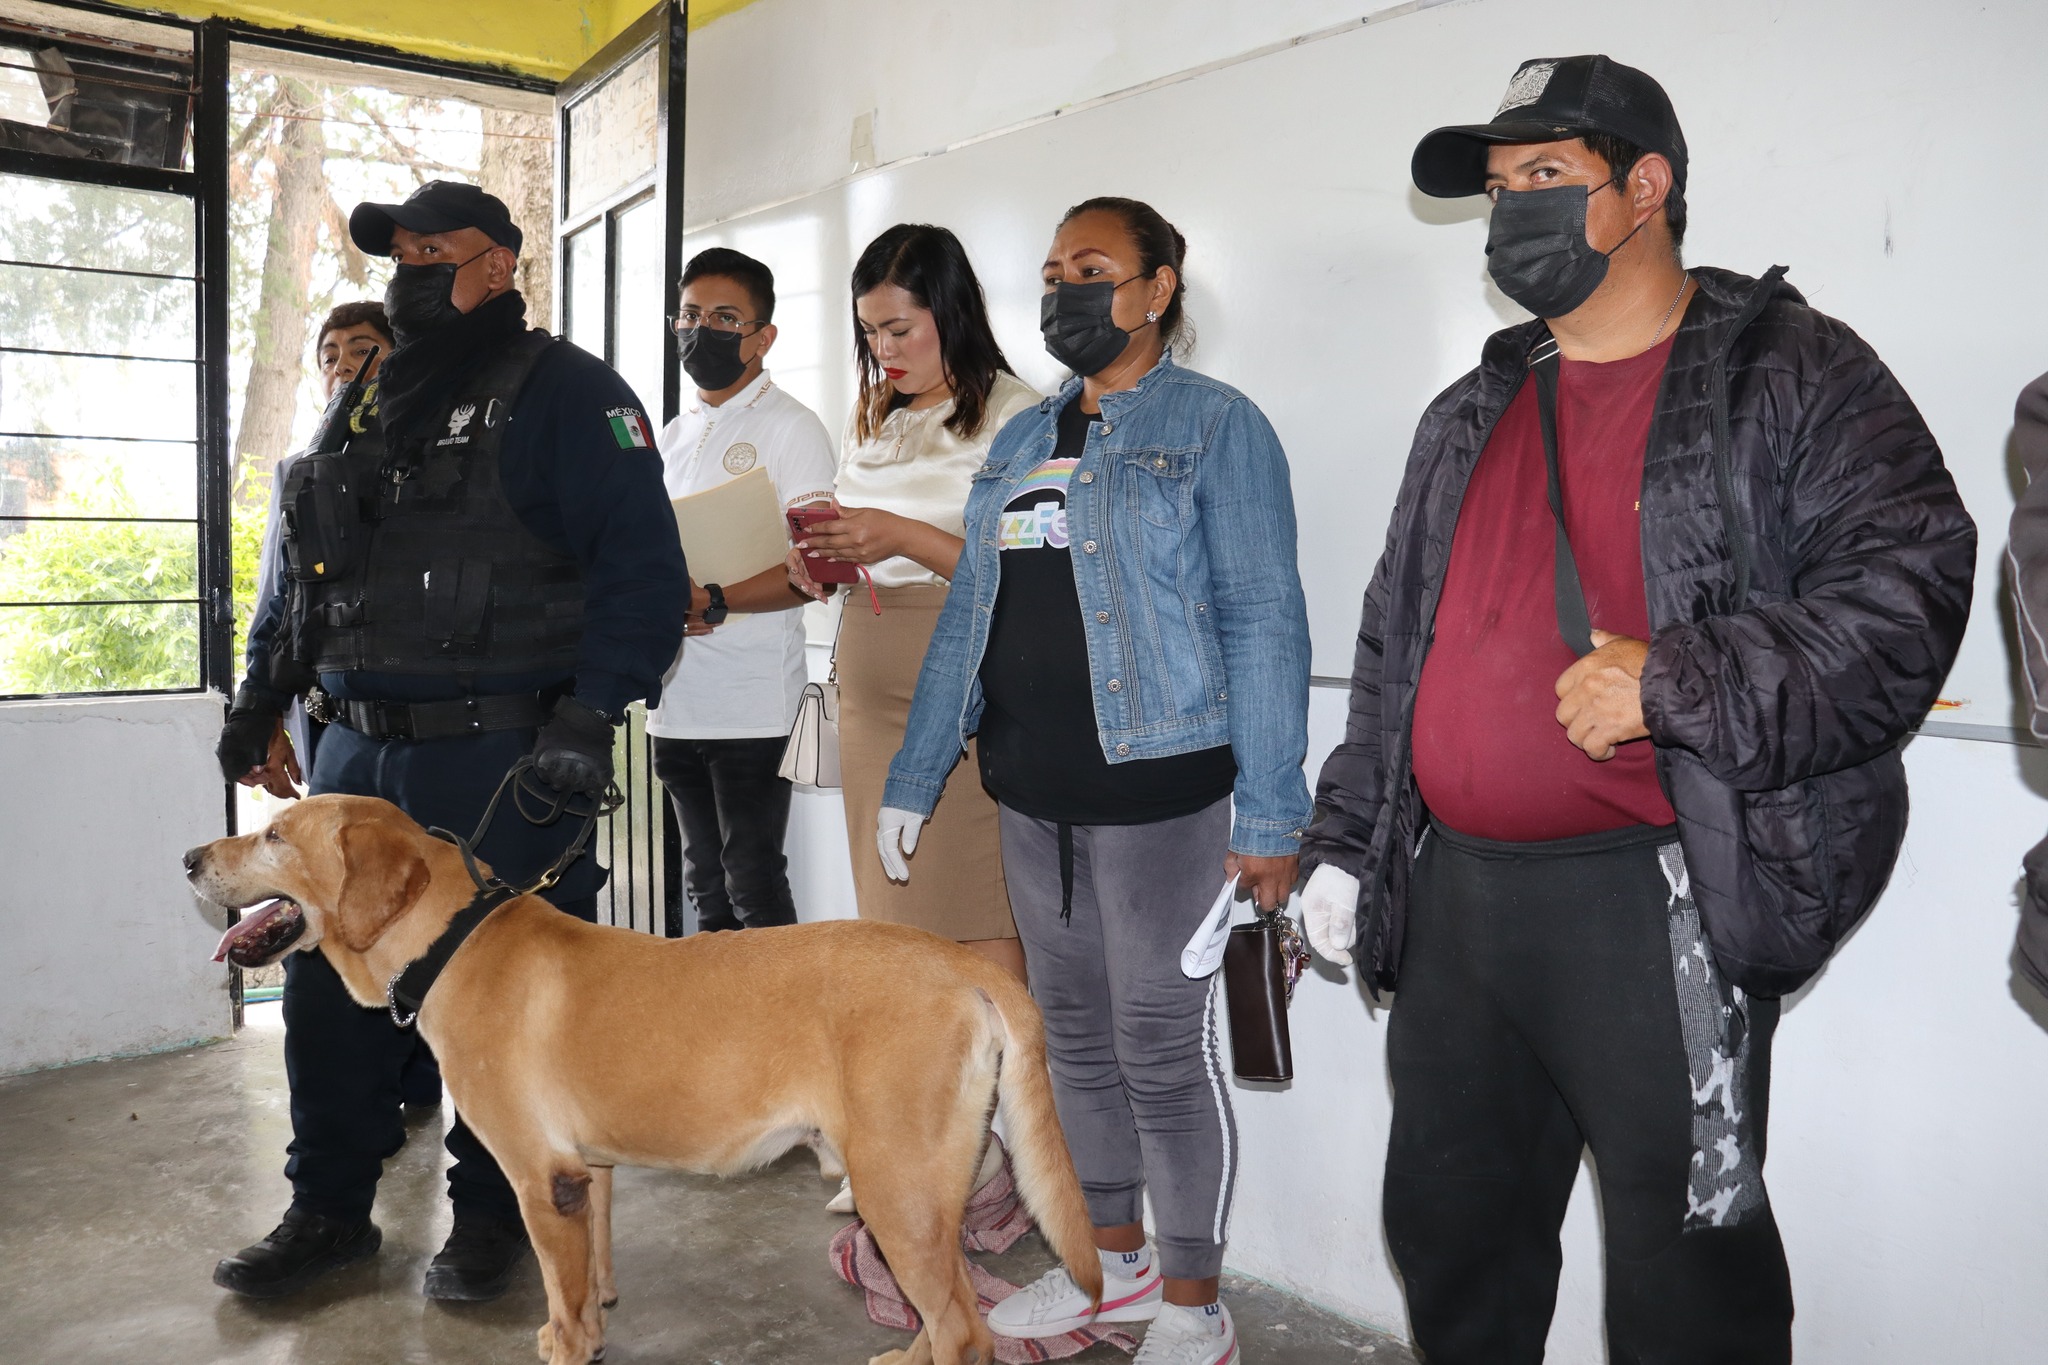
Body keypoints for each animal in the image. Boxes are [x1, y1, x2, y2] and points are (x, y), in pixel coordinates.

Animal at [184, 789, 1097, 1365]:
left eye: (275, 834)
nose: (191, 855)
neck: (450, 941)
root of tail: (964, 963)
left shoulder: (539, 1177)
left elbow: (560, 1295)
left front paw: (563, 1346)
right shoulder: (588, 1173)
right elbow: (590, 1282)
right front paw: (594, 1327)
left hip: (896, 1186)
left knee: (965, 1332)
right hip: (917, 1197)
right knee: (950, 1318)